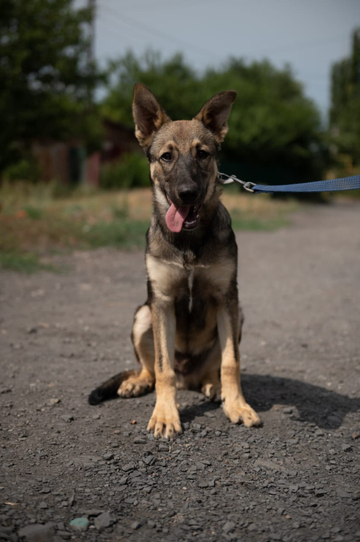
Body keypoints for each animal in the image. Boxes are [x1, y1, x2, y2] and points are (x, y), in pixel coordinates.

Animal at [88, 86, 260, 442]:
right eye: (166, 156)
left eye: (203, 154)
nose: (187, 194)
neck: (189, 243)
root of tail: (188, 378)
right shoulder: (162, 301)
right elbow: (163, 368)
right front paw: (166, 414)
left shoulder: (227, 298)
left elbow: (231, 363)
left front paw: (237, 405)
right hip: (142, 315)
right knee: (152, 369)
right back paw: (137, 382)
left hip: (236, 316)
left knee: (211, 369)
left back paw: (214, 387)